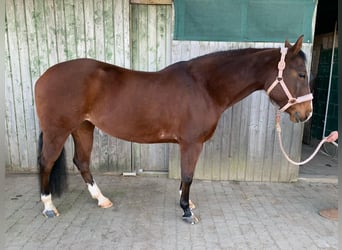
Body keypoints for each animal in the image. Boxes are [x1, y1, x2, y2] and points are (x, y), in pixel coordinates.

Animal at [35, 35, 312, 223]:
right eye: (301, 74)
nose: (306, 113)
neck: (205, 86)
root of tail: (43, 76)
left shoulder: (187, 144)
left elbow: (184, 176)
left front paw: (187, 202)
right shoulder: (192, 143)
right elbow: (188, 175)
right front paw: (187, 211)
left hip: (83, 127)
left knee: (81, 162)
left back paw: (101, 199)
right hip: (58, 131)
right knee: (46, 162)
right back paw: (48, 207)